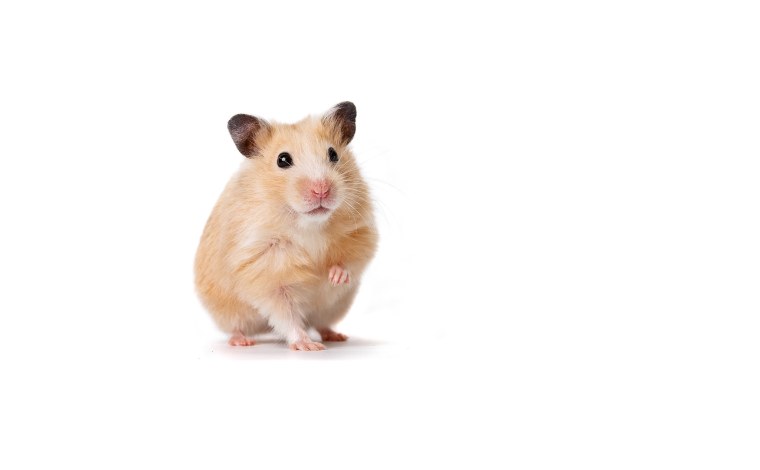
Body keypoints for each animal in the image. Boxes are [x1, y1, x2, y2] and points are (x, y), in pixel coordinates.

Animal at [194, 102, 378, 351]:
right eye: (282, 160)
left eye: (333, 154)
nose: (321, 190)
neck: (308, 223)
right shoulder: (265, 270)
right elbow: (285, 313)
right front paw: (308, 346)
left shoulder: (361, 231)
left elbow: (350, 259)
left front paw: (335, 277)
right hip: (228, 311)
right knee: (237, 326)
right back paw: (242, 341)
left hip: (333, 308)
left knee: (322, 323)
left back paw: (336, 336)